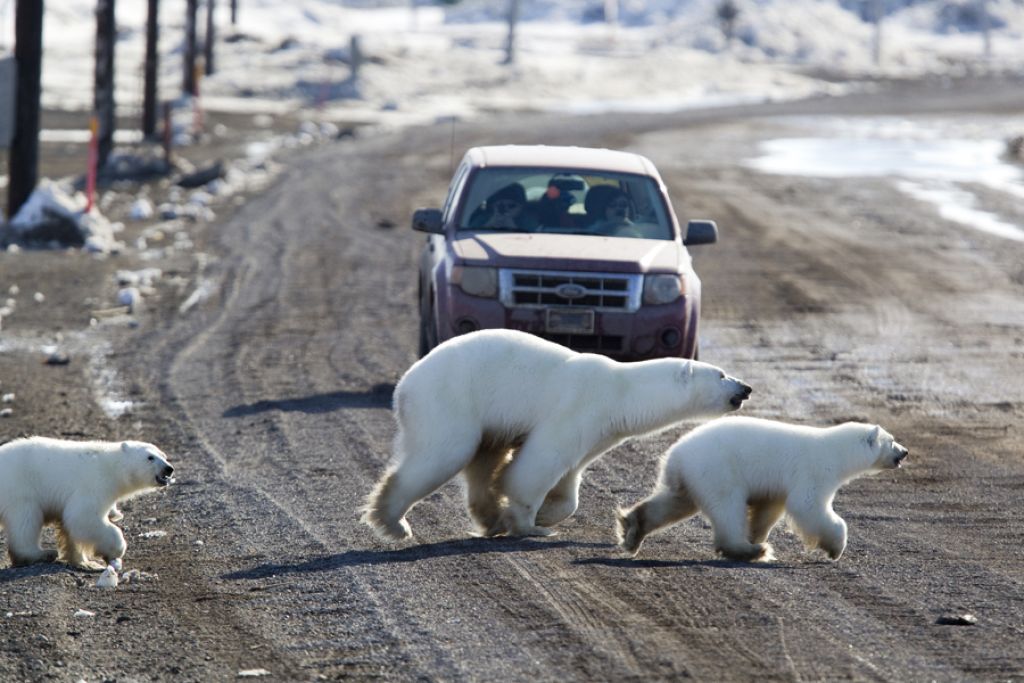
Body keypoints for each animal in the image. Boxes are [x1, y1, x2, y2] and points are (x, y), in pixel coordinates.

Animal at [0, 438, 174, 573]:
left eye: (164, 456)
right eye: (150, 457)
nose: (169, 468)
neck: (110, 466)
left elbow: (71, 528)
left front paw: (87, 563)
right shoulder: (94, 484)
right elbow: (83, 517)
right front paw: (115, 550)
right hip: (18, 488)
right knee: (26, 519)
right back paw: (42, 554)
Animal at [360, 327, 753, 540]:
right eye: (721, 374)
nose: (746, 387)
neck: (622, 391)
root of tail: (405, 385)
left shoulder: (599, 430)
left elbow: (569, 478)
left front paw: (546, 515)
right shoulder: (579, 407)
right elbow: (539, 463)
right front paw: (531, 525)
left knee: (483, 459)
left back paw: (489, 517)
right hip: (449, 400)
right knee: (443, 453)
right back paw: (393, 522)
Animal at [610, 417, 909, 561]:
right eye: (892, 440)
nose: (905, 452)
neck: (836, 451)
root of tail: (675, 456)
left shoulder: (776, 487)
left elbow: (770, 508)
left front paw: (757, 534)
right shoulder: (814, 470)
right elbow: (807, 505)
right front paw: (835, 548)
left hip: (693, 476)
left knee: (674, 503)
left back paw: (633, 528)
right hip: (717, 469)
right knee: (728, 506)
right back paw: (749, 550)